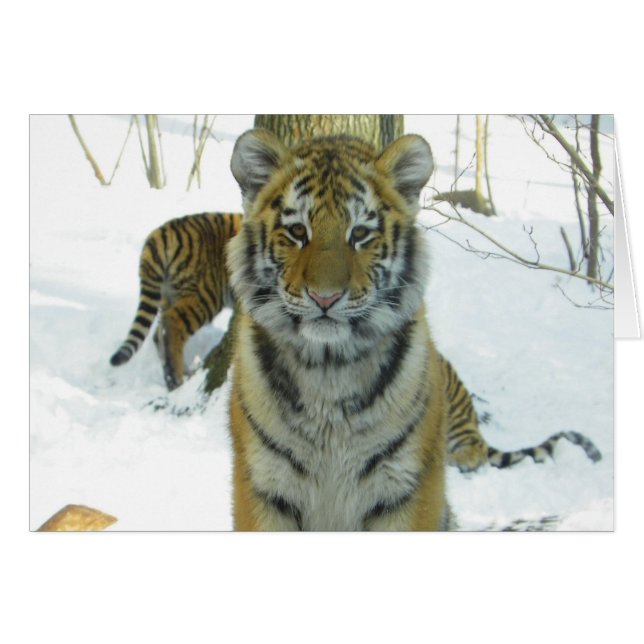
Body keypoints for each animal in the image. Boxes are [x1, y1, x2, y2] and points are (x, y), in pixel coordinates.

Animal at [109, 211, 243, 390]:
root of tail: (163, 231)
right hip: (206, 293)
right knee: (173, 324)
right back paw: (177, 379)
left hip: (169, 294)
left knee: (159, 333)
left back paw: (180, 374)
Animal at [224, 128, 602, 531]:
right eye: (297, 230)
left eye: (360, 233)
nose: (325, 297)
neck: (328, 370)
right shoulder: (264, 484)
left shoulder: (406, 487)